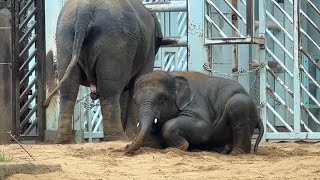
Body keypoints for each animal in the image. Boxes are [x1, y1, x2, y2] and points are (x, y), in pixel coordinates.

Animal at [42, 0, 162, 143]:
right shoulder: (148, 49)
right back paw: (119, 139)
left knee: (69, 87)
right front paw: (132, 136)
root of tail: (84, 11)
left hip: (65, 36)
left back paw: (65, 141)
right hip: (115, 41)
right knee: (110, 88)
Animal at [124, 70, 262, 155]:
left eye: (162, 98)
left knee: (237, 105)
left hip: (242, 103)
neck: (172, 74)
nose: (126, 148)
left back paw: (234, 153)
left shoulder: (196, 104)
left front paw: (182, 147)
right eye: (135, 100)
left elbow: (204, 128)